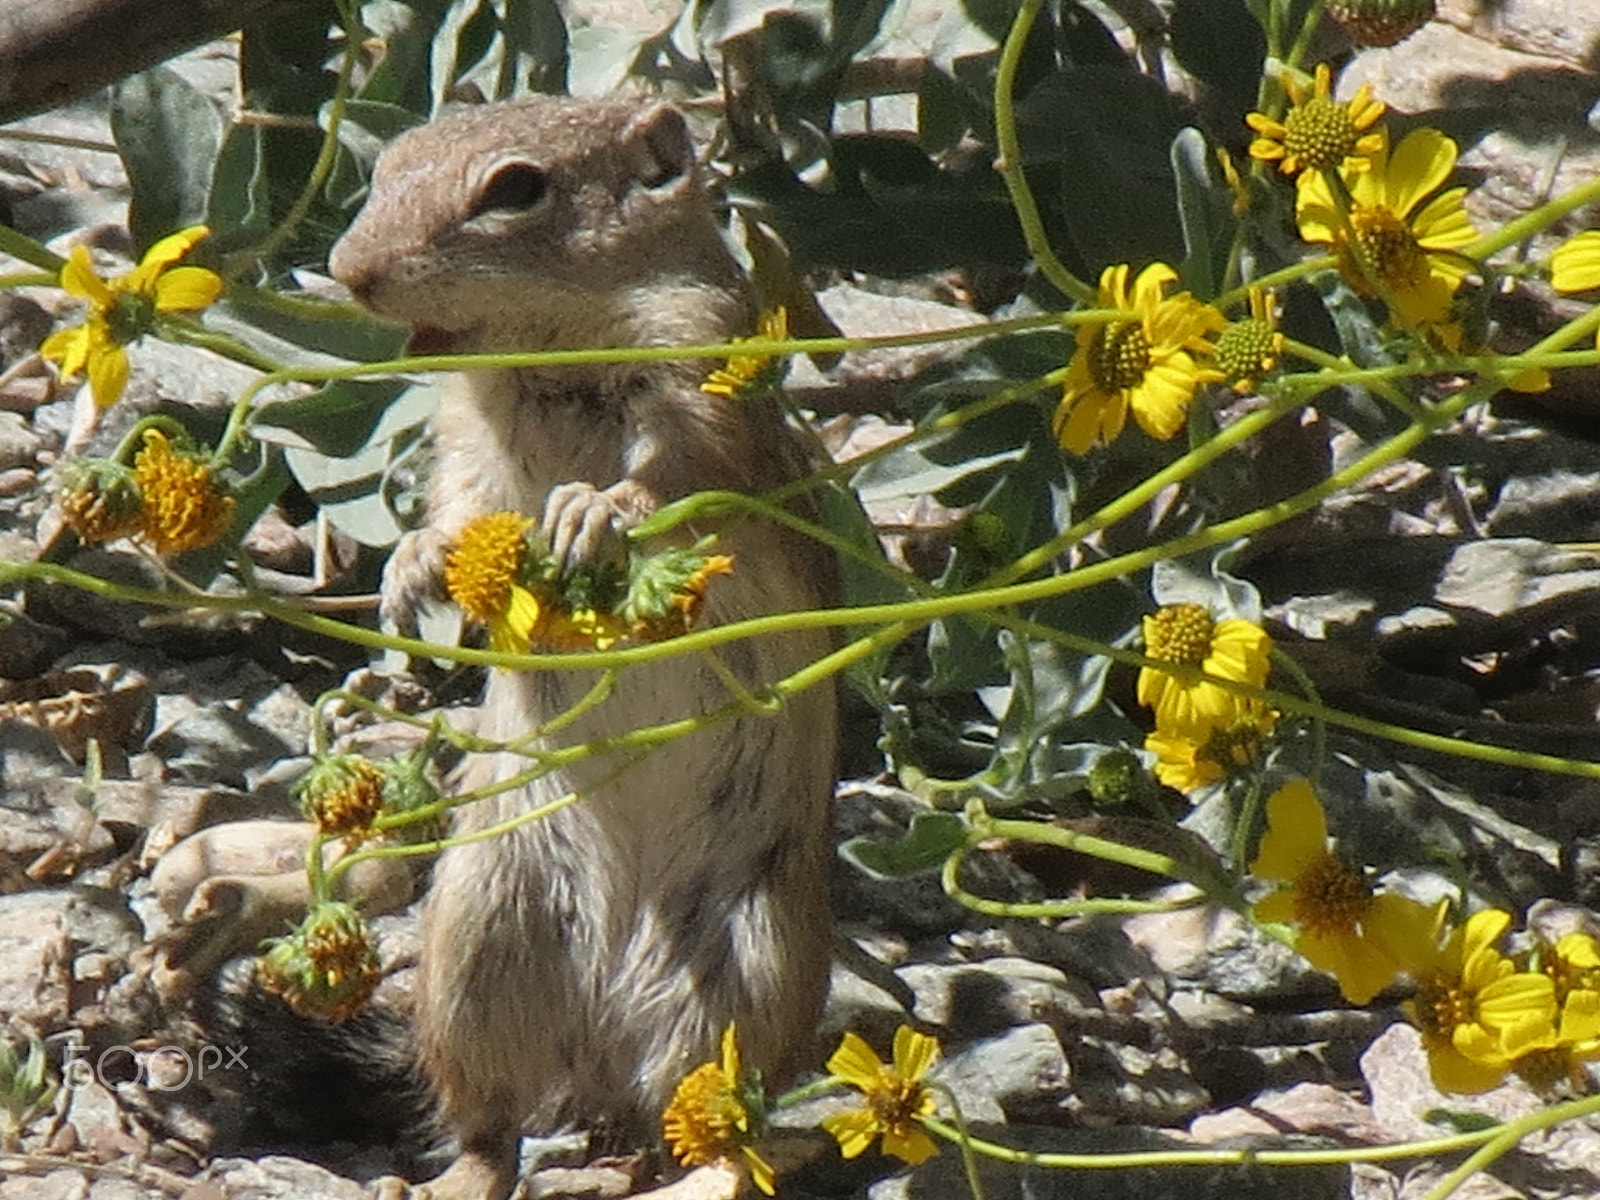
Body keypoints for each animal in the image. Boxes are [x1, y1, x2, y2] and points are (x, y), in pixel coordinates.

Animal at [332, 101, 844, 1200]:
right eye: (389, 164)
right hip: (475, 948)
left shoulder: (699, 369)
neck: (544, 351)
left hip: (749, 965)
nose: (350, 272)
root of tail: (598, 1046)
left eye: (516, 189)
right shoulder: (465, 436)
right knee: (492, 1121)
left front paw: (592, 513)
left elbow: (681, 478)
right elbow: (459, 510)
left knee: (693, 1114)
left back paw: (690, 1167)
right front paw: (412, 568)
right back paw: (459, 1176)